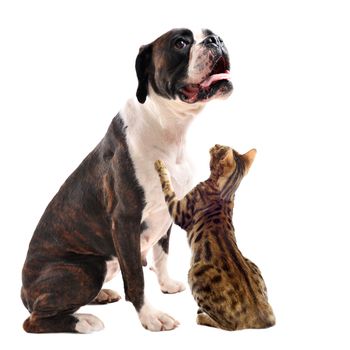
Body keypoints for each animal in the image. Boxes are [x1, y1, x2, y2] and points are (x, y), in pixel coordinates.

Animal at [21, 28, 232, 334]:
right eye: (180, 43)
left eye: (211, 34)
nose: (216, 40)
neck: (168, 126)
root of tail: (23, 291)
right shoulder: (125, 220)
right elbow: (135, 277)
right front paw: (151, 316)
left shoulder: (168, 211)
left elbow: (161, 254)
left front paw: (166, 284)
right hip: (87, 268)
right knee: (34, 321)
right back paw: (83, 321)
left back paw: (100, 296)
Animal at [154, 144, 274, 330]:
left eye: (220, 148)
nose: (214, 145)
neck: (226, 192)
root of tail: (260, 313)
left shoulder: (179, 211)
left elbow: (168, 187)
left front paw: (161, 166)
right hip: (254, 265)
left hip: (194, 273)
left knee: (228, 325)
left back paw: (202, 316)